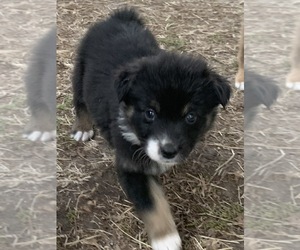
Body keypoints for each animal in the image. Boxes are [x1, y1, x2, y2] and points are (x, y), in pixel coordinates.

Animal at [71, 7, 231, 250]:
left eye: (191, 116)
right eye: (149, 113)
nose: (169, 151)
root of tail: (118, 17)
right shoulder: (130, 165)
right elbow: (152, 202)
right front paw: (166, 239)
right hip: (80, 70)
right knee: (80, 99)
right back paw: (83, 127)